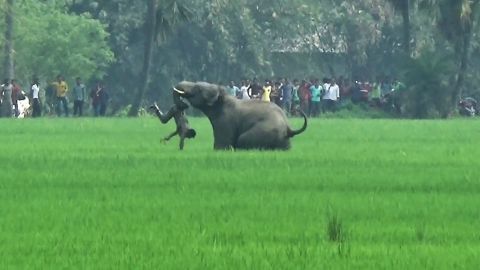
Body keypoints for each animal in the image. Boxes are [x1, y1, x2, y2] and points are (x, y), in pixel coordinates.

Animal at [172, 81, 308, 151]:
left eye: (197, 89)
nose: (183, 105)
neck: (223, 96)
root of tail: (288, 129)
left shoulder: (225, 121)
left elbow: (222, 145)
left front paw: (219, 150)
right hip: (285, 142)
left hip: (265, 131)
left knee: (243, 139)